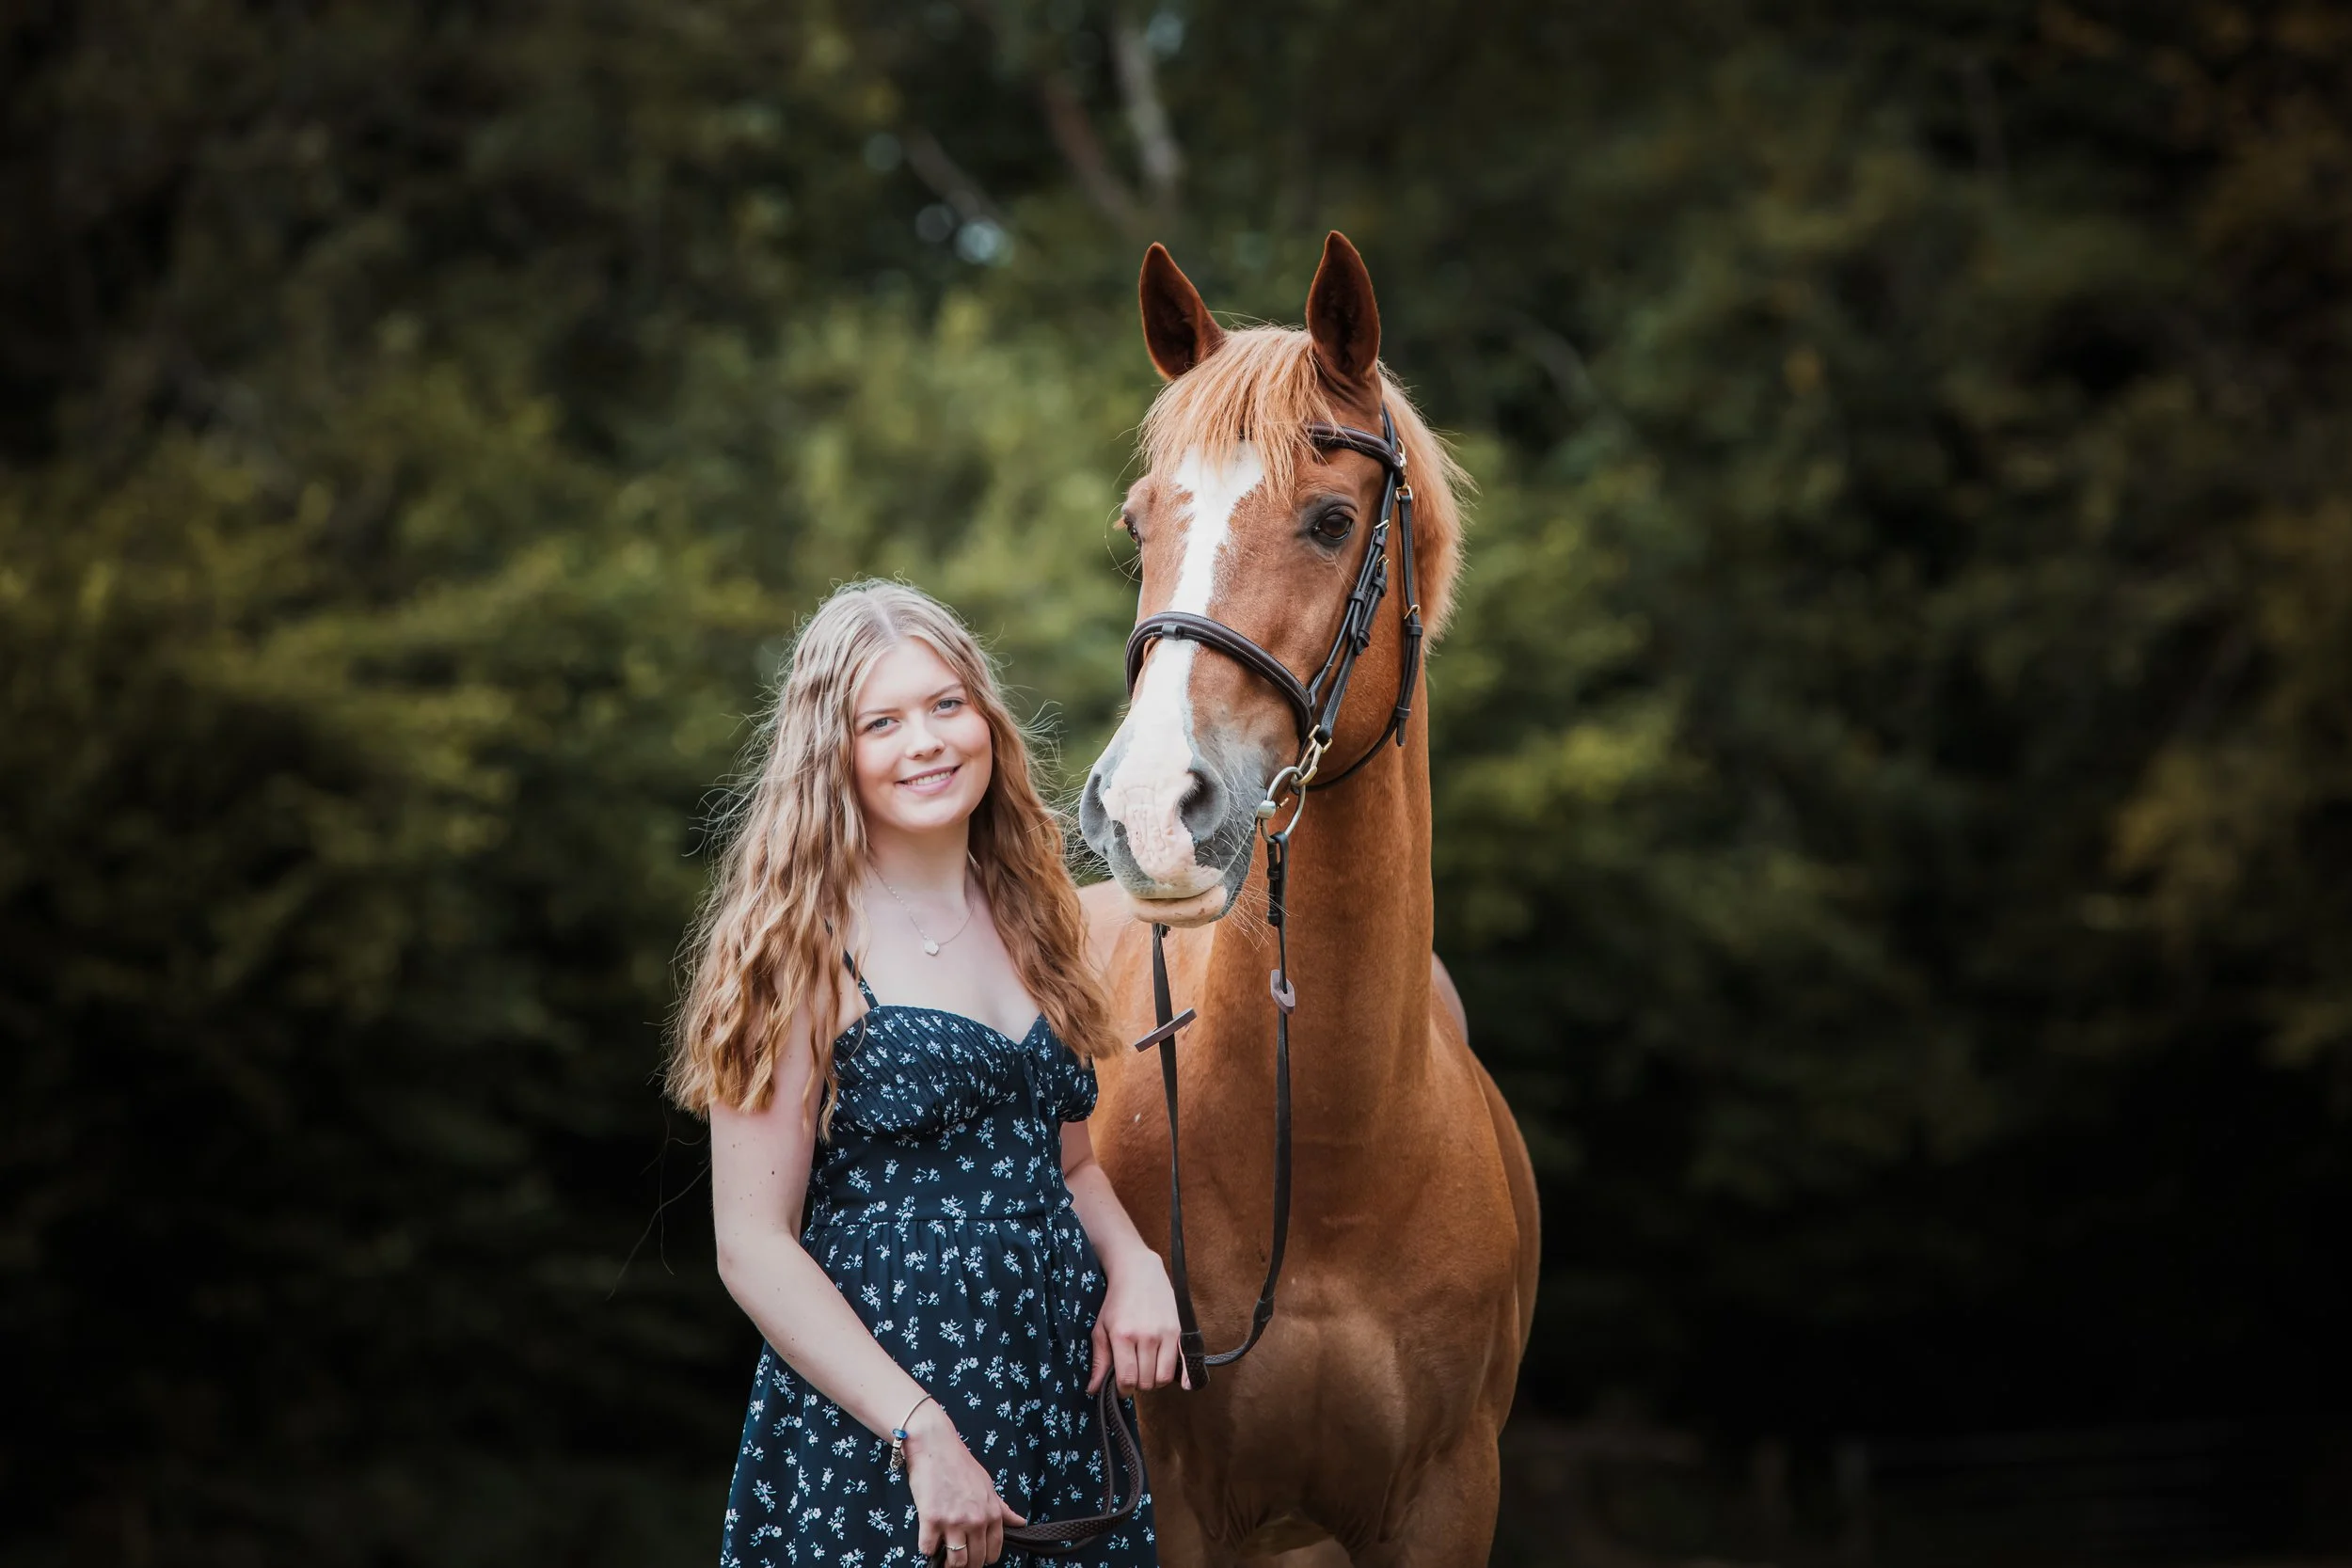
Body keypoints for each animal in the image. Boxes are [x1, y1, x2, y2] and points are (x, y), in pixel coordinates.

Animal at [1075, 232, 1541, 1567]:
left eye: (1333, 520)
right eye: (1138, 526)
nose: (1145, 808)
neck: (1333, 1152)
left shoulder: (1446, 1497)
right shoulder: (1176, 1504)